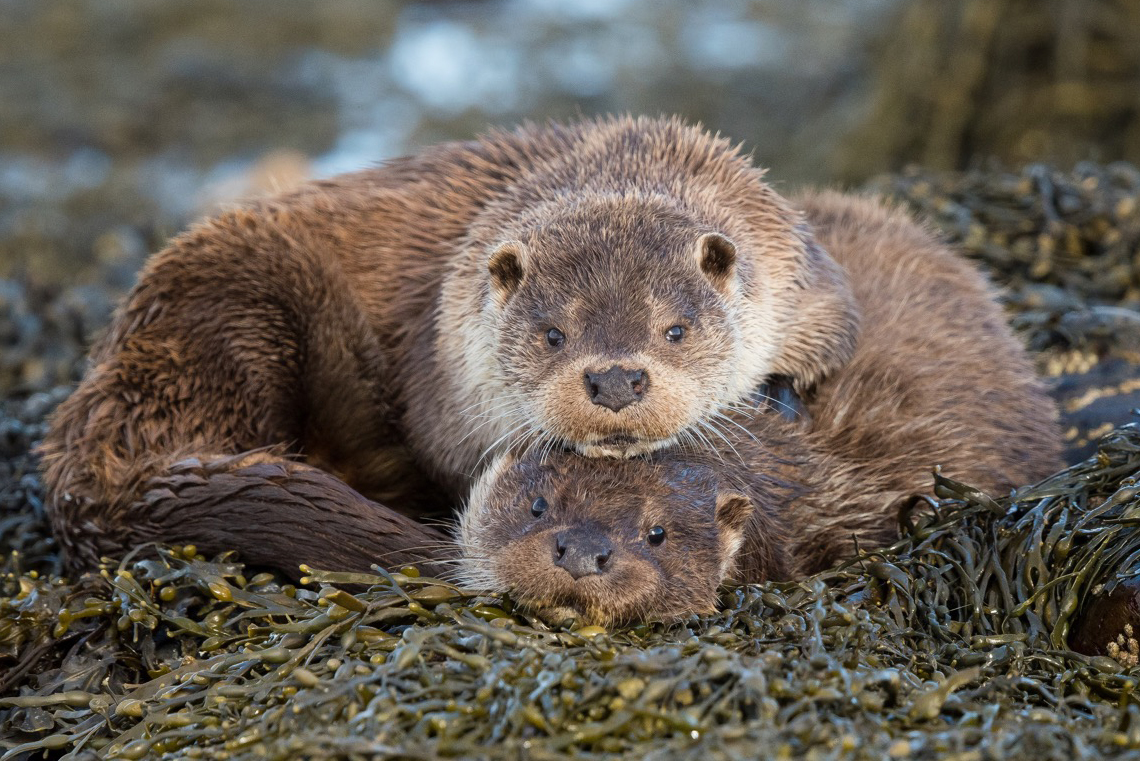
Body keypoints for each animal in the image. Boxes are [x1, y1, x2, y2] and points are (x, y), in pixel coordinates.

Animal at [37, 114, 857, 576]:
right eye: (552, 333)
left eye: (674, 329)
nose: (617, 380)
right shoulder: (444, 385)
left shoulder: (806, 283)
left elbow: (837, 341)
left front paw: (778, 390)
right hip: (238, 311)